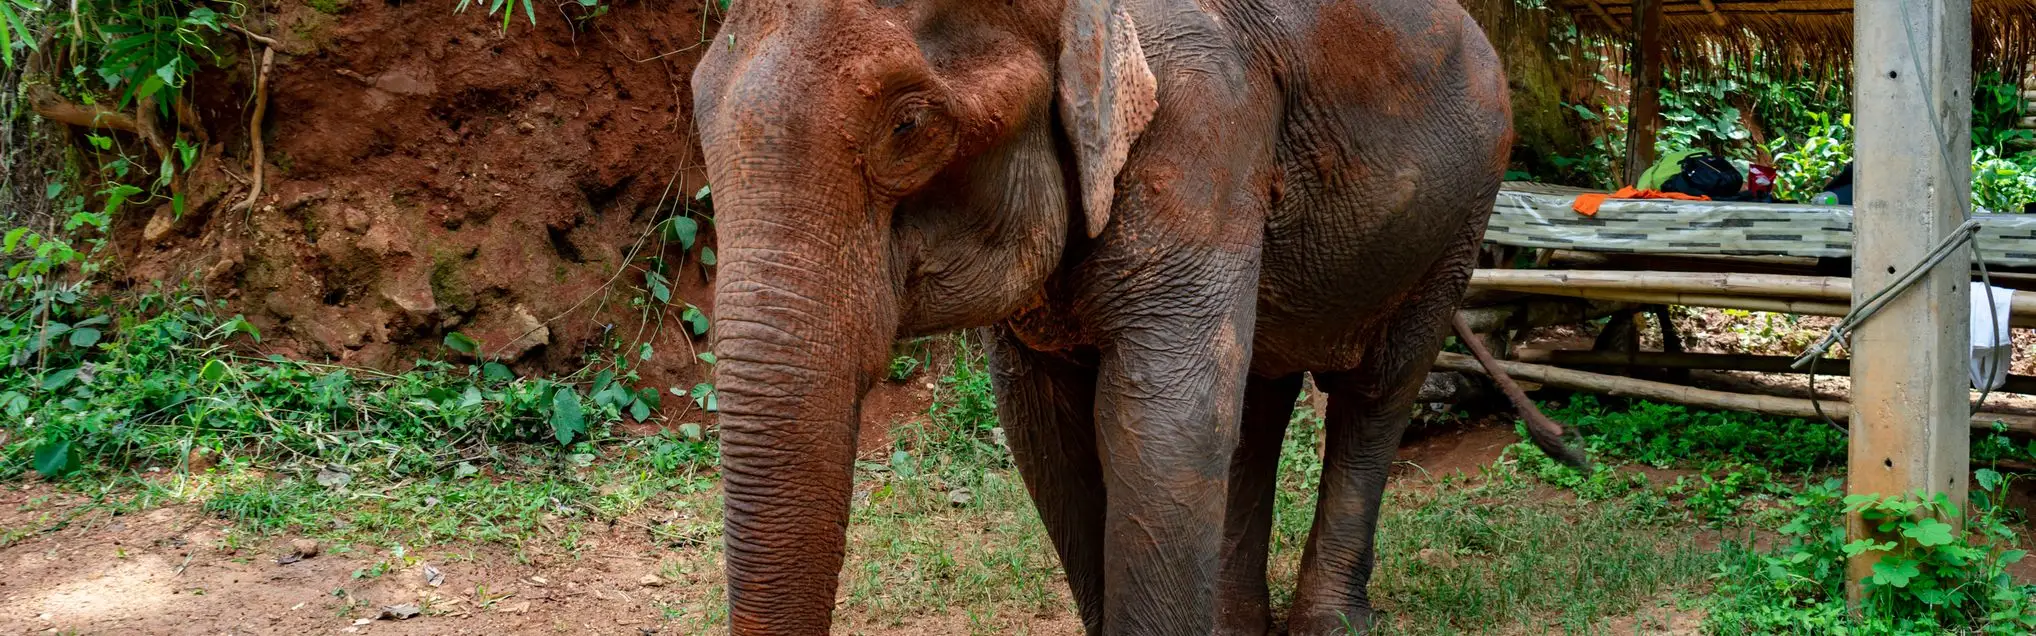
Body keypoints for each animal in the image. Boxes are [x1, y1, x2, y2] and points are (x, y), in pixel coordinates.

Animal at [691, 0, 1528, 633]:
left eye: (907, 127)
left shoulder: (1203, 133)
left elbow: (1160, 420)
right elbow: (1046, 432)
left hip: (1464, 208)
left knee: (1377, 391)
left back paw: (1331, 625)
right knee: (1259, 397)